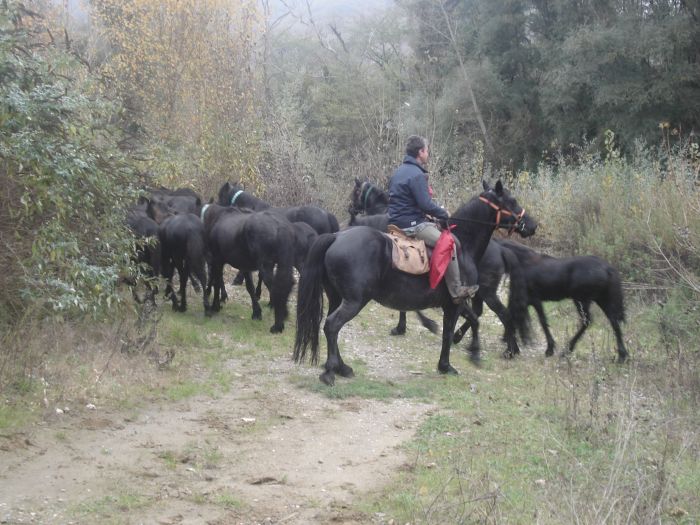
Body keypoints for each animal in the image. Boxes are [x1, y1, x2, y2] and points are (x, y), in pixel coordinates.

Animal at [294, 181, 536, 384]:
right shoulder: (454, 302)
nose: (532, 225)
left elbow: (471, 321)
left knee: (331, 327)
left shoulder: (454, 301)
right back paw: (330, 371)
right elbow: (449, 331)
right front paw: (449, 363)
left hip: (337, 297)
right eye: (512, 200)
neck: (463, 245)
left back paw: (341, 367)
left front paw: (466, 350)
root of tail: (336, 236)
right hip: (354, 301)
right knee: (332, 325)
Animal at [498, 239, 628, 362]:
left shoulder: (534, 300)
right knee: (613, 322)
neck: (525, 262)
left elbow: (542, 321)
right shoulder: (527, 300)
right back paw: (622, 356)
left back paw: (566, 351)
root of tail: (606, 268)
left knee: (587, 322)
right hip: (600, 300)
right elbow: (514, 314)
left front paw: (549, 349)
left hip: (581, 300)